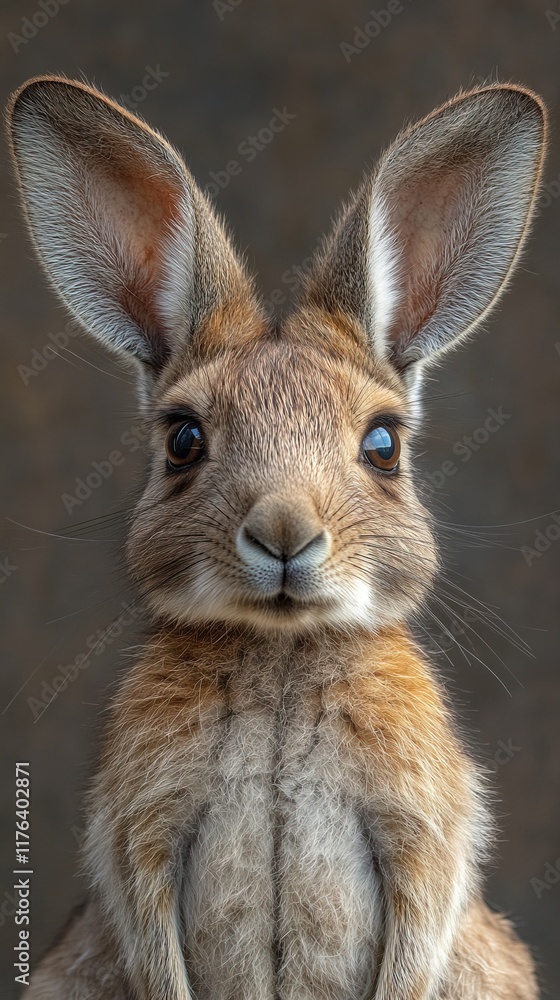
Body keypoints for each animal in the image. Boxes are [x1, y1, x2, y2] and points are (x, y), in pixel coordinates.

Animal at [8, 76, 546, 1000]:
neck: (282, 654)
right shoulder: (140, 838)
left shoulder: (421, 838)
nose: (285, 531)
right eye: (183, 440)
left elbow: (418, 930)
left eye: (383, 445)